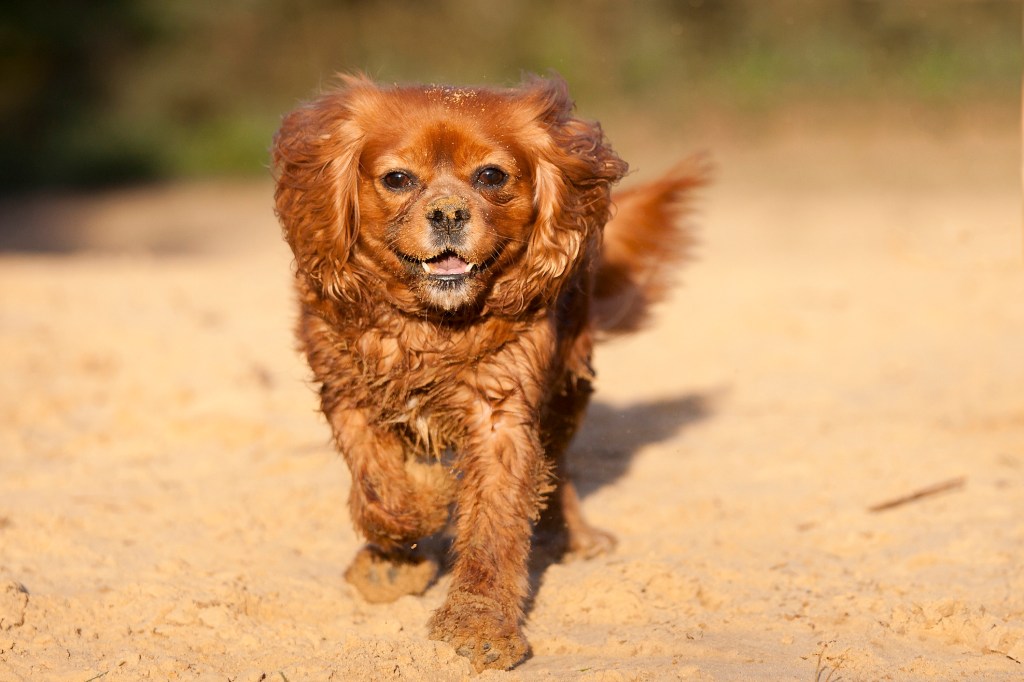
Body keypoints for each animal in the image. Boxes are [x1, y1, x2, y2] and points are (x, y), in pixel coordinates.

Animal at [270, 74, 704, 667]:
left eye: (491, 176)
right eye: (398, 179)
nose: (449, 213)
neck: (432, 323)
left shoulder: (500, 417)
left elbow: (493, 527)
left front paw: (479, 622)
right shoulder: (345, 392)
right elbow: (380, 490)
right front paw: (410, 529)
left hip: (567, 391)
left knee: (556, 468)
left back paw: (572, 536)